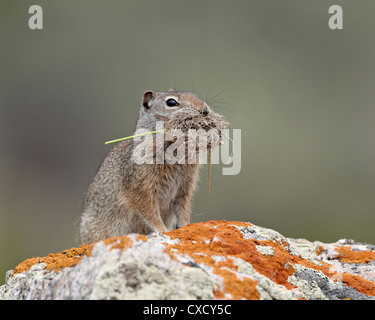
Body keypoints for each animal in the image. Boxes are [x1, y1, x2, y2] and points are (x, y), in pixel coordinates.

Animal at [79, 89, 229, 244]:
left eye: (194, 95)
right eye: (171, 102)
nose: (205, 110)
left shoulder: (185, 188)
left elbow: (183, 209)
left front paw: (185, 226)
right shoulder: (140, 189)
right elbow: (150, 212)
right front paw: (163, 230)